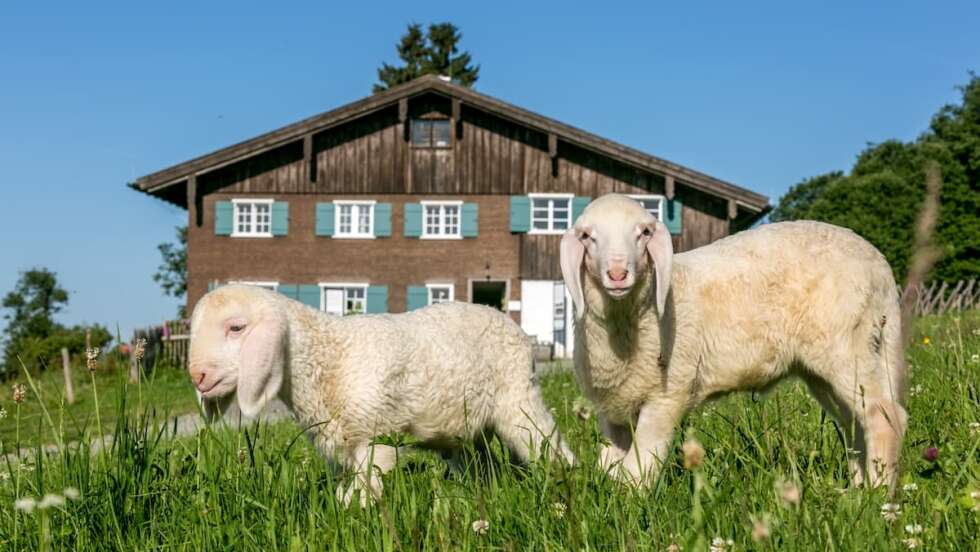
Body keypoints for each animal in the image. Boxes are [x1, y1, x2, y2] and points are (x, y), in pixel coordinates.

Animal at [188, 284, 575, 505]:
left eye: (236, 327)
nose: (198, 376)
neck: (328, 358)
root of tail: (506, 319)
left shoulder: (374, 439)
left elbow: (356, 496)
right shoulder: (339, 447)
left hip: (518, 397)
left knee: (547, 443)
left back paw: (571, 478)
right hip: (464, 427)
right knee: (482, 465)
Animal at [560, 193, 907, 489]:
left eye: (644, 233)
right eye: (587, 236)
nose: (618, 274)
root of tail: (881, 267)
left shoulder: (666, 396)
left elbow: (638, 466)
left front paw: (633, 506)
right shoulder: (612, 410)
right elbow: (612, 462)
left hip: (848, 346)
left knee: (884, 416)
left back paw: (877, 497)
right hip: (831, 366)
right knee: (854, 424)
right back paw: (856, 491)